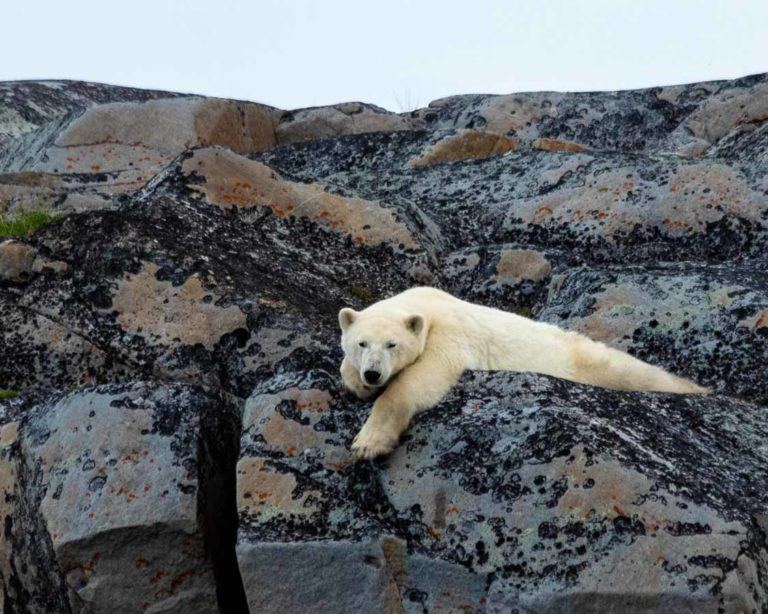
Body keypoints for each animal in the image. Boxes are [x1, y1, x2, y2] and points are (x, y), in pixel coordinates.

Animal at [339, 286, 709, 460]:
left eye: (392, 345)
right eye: (361, 343)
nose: (372, 374)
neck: (425, 304)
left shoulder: (448, 336)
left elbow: (421, 381)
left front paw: (368, 443)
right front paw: (357, 383)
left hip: (588, 361)